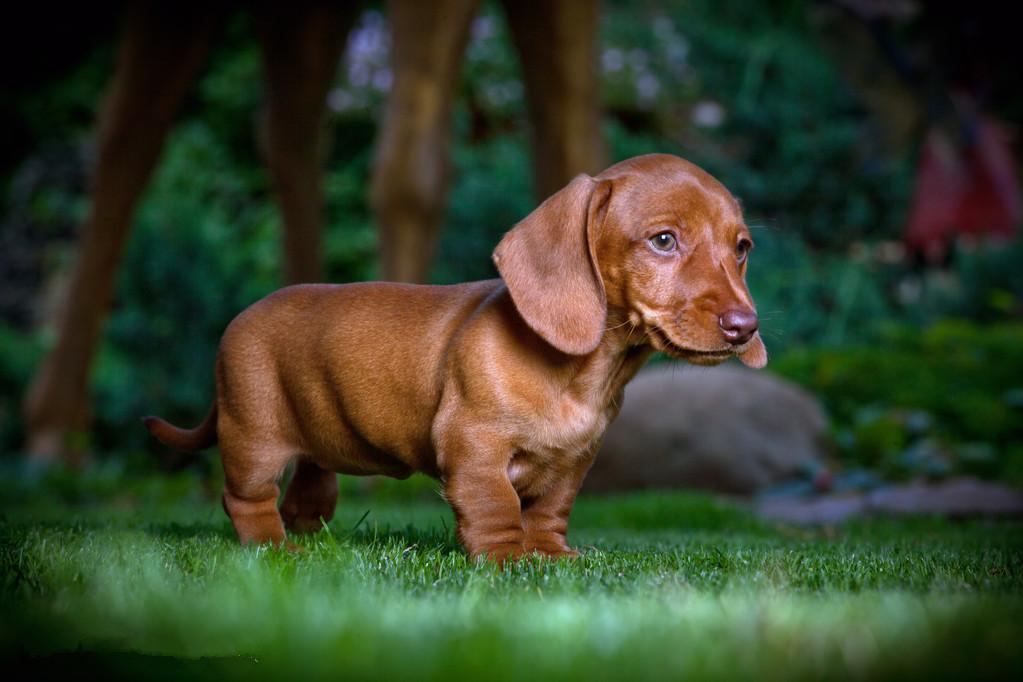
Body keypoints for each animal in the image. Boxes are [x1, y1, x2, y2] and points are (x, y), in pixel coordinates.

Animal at [146, 153, 769, 560]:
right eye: (664, 241)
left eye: (742, 248)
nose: (745, 327)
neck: (582, 374)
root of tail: (240, 318)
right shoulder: (473, 447)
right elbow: (497, 508)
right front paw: (508, 561)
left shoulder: (574, 462)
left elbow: (549, 511)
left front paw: (550, 555)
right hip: (253, 437)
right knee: (243, 499)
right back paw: (274, 548)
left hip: (317, 439)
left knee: (311, 484)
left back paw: (311, 533)